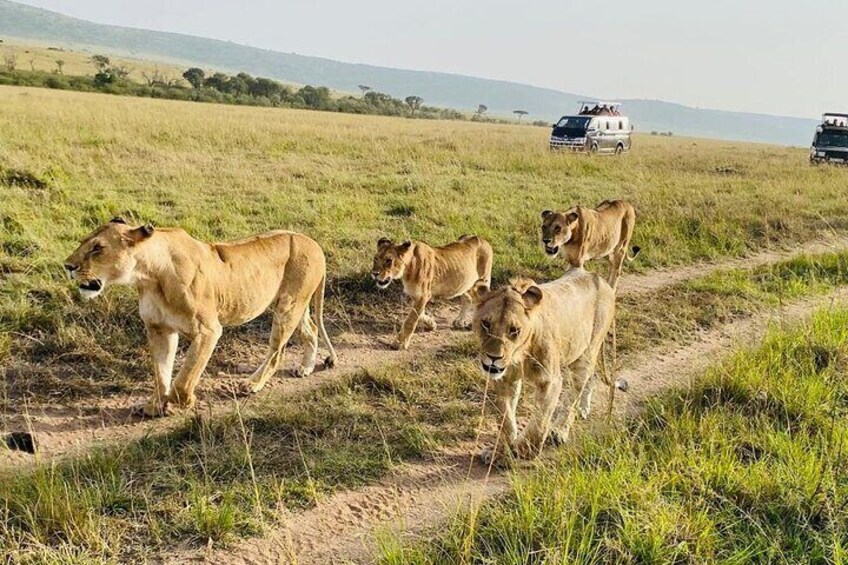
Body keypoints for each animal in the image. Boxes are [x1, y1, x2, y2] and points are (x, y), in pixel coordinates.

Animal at [64, 218, 337, 417]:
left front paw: (181, 402)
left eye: (97, 248)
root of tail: (312, 241)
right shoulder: (159, 328)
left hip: (288, 306)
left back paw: (252, 384)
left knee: (277, 352)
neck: (149, 275)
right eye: (84, 242)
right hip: (295, 303)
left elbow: (185, 377)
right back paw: (306, 366)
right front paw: (155, 404)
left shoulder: (208, 330)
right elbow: (161, 372)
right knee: (311, 330)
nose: (67, 266)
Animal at [471, 268, 616, 462]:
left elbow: (539, 422)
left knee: (573, 395)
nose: (493, 357)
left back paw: (560, 431)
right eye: (486, 324)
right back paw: (583, 408)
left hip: (587, 353)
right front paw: (501, 451)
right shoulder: (504, 380)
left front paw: (524, 449)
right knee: (589, 378)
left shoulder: (549, 381)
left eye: (514, 330)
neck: (519, 355)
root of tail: (596, 276)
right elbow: (506, 419)